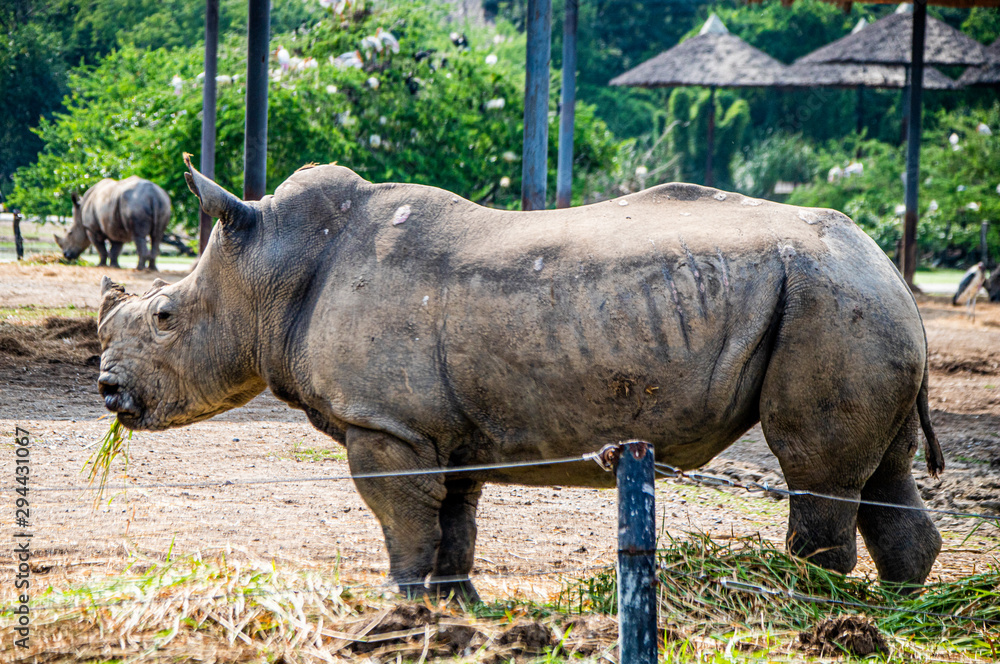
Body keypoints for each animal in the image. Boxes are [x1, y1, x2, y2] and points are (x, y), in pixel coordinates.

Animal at [97, 156, 945, 600]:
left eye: (165, 318)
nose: (107, 391)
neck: (272, 266)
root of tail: (890, 272)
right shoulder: (447, 427)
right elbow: (453, 522)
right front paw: (456, 606)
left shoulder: (387, 422)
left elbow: (401, 518)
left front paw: (399, 604)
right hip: (850, 302)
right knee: (884, 471)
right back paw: (901, 612)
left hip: (829, 302)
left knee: (815, 468)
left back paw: (807, 602)